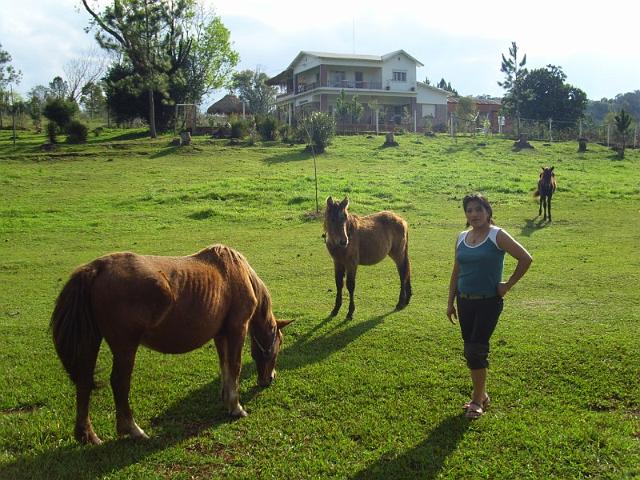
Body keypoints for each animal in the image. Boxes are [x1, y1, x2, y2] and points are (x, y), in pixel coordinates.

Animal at [51, 246, 292, 444]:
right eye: (278, 344)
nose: (270, 379)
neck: (235, 272)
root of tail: (97, 268)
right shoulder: (236, 329)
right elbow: (234, 366)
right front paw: (236, 406)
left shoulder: (220, 334)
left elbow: (224, 366)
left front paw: (226, 397)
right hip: (125, 346)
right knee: (119, 383)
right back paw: (132, 429)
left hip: (90, 341)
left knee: (84, 381)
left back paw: (87, 435)